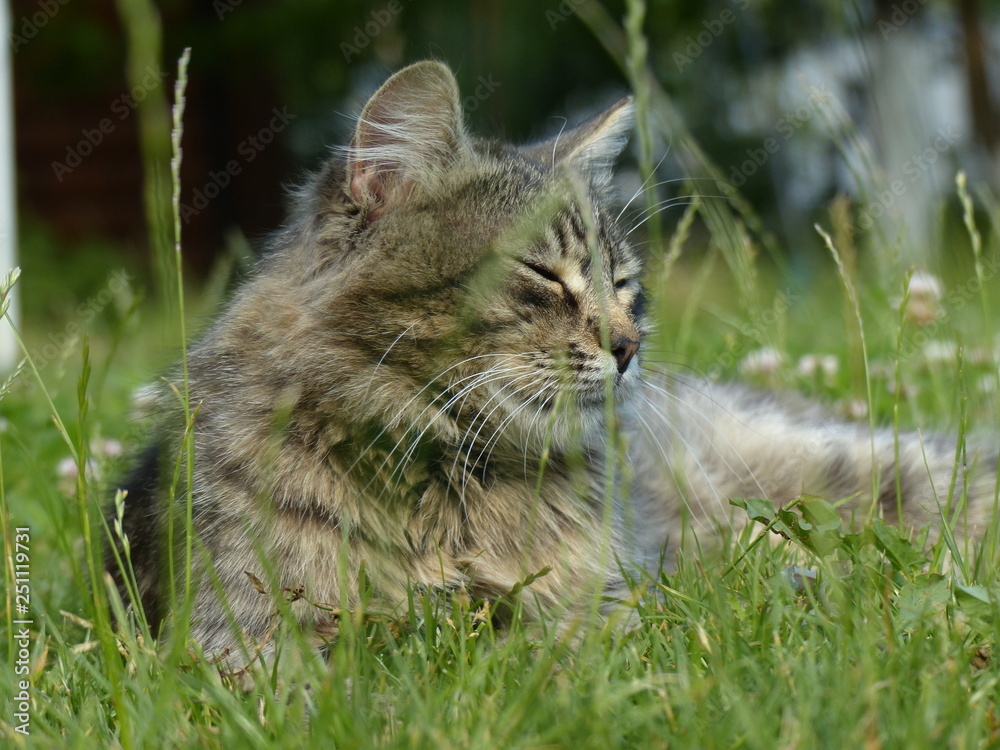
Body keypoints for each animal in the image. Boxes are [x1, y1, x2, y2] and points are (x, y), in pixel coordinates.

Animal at [105, 58, 996, 668]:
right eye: (543, 275)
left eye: (624, 284)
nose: (629, 346)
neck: (448, 477)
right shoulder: (249, 638)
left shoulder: (602, 611)